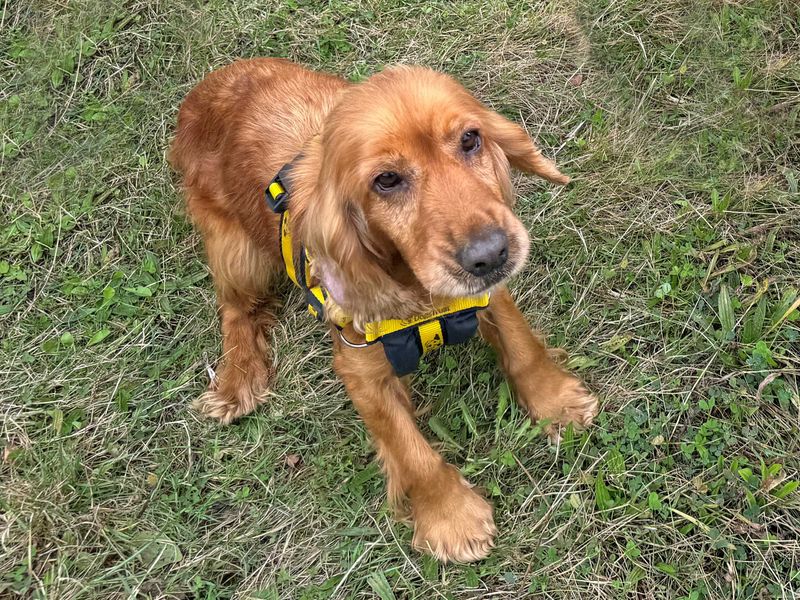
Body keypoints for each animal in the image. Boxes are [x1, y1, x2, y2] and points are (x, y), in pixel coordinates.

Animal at [172, 58, 596, 564]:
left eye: (470, 139)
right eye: (387, 180)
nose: (490, 255)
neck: (422, 298)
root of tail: (202, 92)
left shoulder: (482, 294)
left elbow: (521, 343)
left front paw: (557, 403)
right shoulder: (359, 365)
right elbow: (410, 451)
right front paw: (452, 518)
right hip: (236, 252)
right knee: (236, 309)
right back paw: (237, 380)